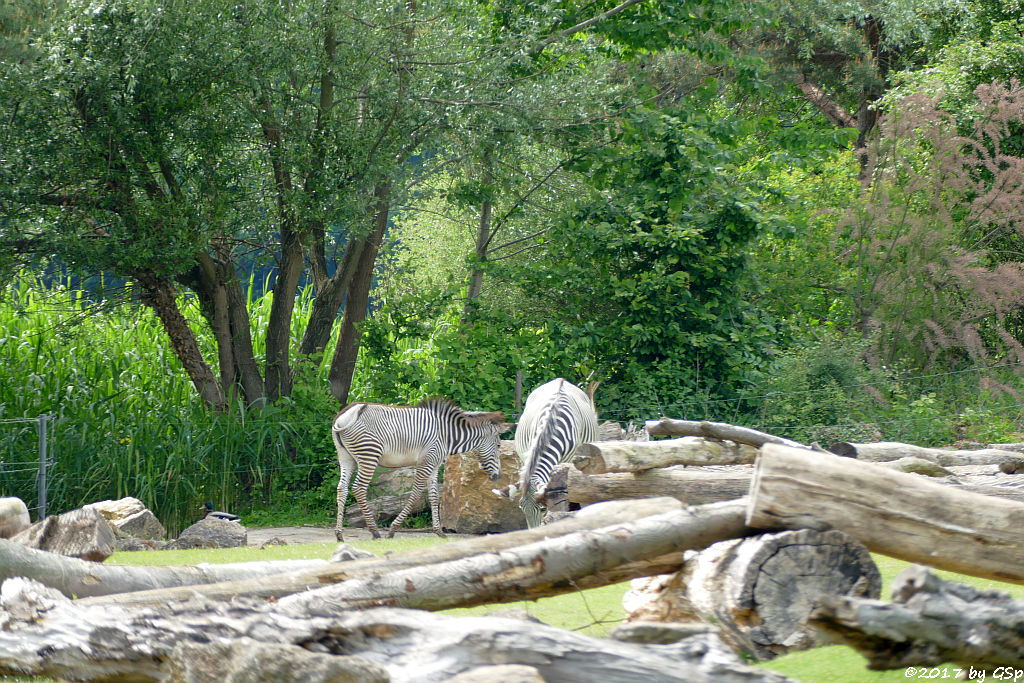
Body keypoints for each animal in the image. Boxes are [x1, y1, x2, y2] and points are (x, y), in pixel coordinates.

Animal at [331, 401, 507, 540]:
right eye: (499, 445)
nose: (498, 476)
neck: (447, 435)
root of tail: (347, 413)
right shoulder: (426, 462)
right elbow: (415, 495)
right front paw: (393, 529)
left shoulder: (435, 465)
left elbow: (435, 497)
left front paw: (439, 531)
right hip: (369, 456)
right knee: (358, 488)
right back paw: (375, 532)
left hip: (345, 456)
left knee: (342, 488)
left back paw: (339, 534)